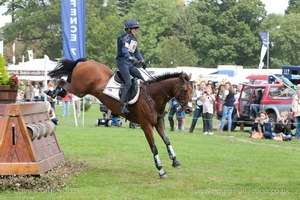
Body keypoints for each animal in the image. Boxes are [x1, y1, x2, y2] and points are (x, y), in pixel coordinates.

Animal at [47, 57, 192, 178]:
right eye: (185, 90)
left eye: (192, 90)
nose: (189, 109)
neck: (152, 97)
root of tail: (86, 61)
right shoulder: (146, 125)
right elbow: (154, 147)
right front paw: (161, 170)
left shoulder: (158, 123)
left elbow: (167, 140)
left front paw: (175, 161)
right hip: (79, 89)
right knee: (62, 81)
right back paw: (51, 92)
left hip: (80, 90)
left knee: (65, 83)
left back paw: (57, 92)